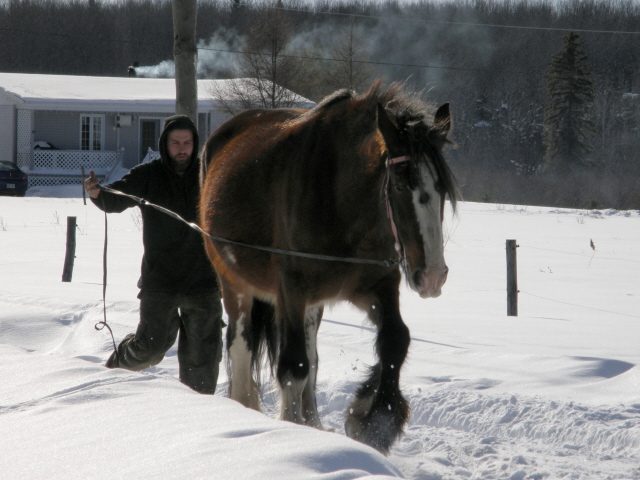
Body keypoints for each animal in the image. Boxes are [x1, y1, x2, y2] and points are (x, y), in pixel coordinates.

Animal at [198, 79, 458, 454]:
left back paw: (314, 422)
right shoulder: (291, 291)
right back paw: (245, 408)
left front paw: (375, 419)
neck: (339, 200)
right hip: (235, 285)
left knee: (312, 355)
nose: (433, 277)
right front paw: (292, 431)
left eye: (441, 189)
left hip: (313, 304)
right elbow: (293, 367)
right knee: (240, 345)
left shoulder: (378, 285)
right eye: (399, 185)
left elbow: (395, 340)